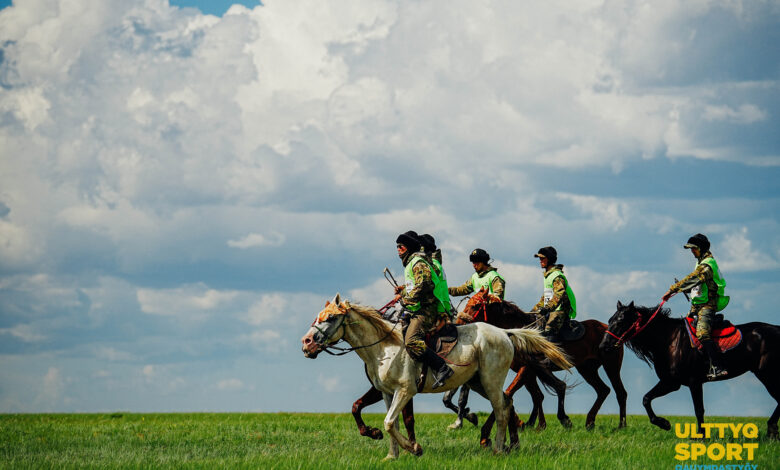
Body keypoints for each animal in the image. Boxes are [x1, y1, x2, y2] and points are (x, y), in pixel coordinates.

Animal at [302, 294, 568, 458]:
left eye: (331, 318)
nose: (306, 343)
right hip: (478, 382)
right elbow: (390, 422)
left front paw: (413, 448)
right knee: (507, 402)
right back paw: (509, 444)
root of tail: (505, 332)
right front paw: (392, 455)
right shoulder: (387, 393)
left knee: (501, 410)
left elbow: (390, 422)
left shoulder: (405, 391)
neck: (384, 348)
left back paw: (498, 449)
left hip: (490, 381)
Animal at [458, 288, 628, 432]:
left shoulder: (528, 369)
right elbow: (538, 395)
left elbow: (512, 392)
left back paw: (621, 425)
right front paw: (535, 424)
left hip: (611, 365)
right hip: (587, 369)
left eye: (475, 306)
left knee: (620, 392)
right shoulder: (531, 371)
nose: (458, 323)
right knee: (603, 390)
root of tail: (608, 329)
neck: (518, 331)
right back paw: (590, 422)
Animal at [600, 300, 776, 438]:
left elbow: (699, 410)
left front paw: (700, 436)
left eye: (621, 321)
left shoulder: (694, 382)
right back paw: (771, 431)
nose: (603, 346)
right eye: (610, 320)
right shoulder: (670, 382)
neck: (669, 340)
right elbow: (646, 399)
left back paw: (771, 430)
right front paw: (664, 423)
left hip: (767, 374)